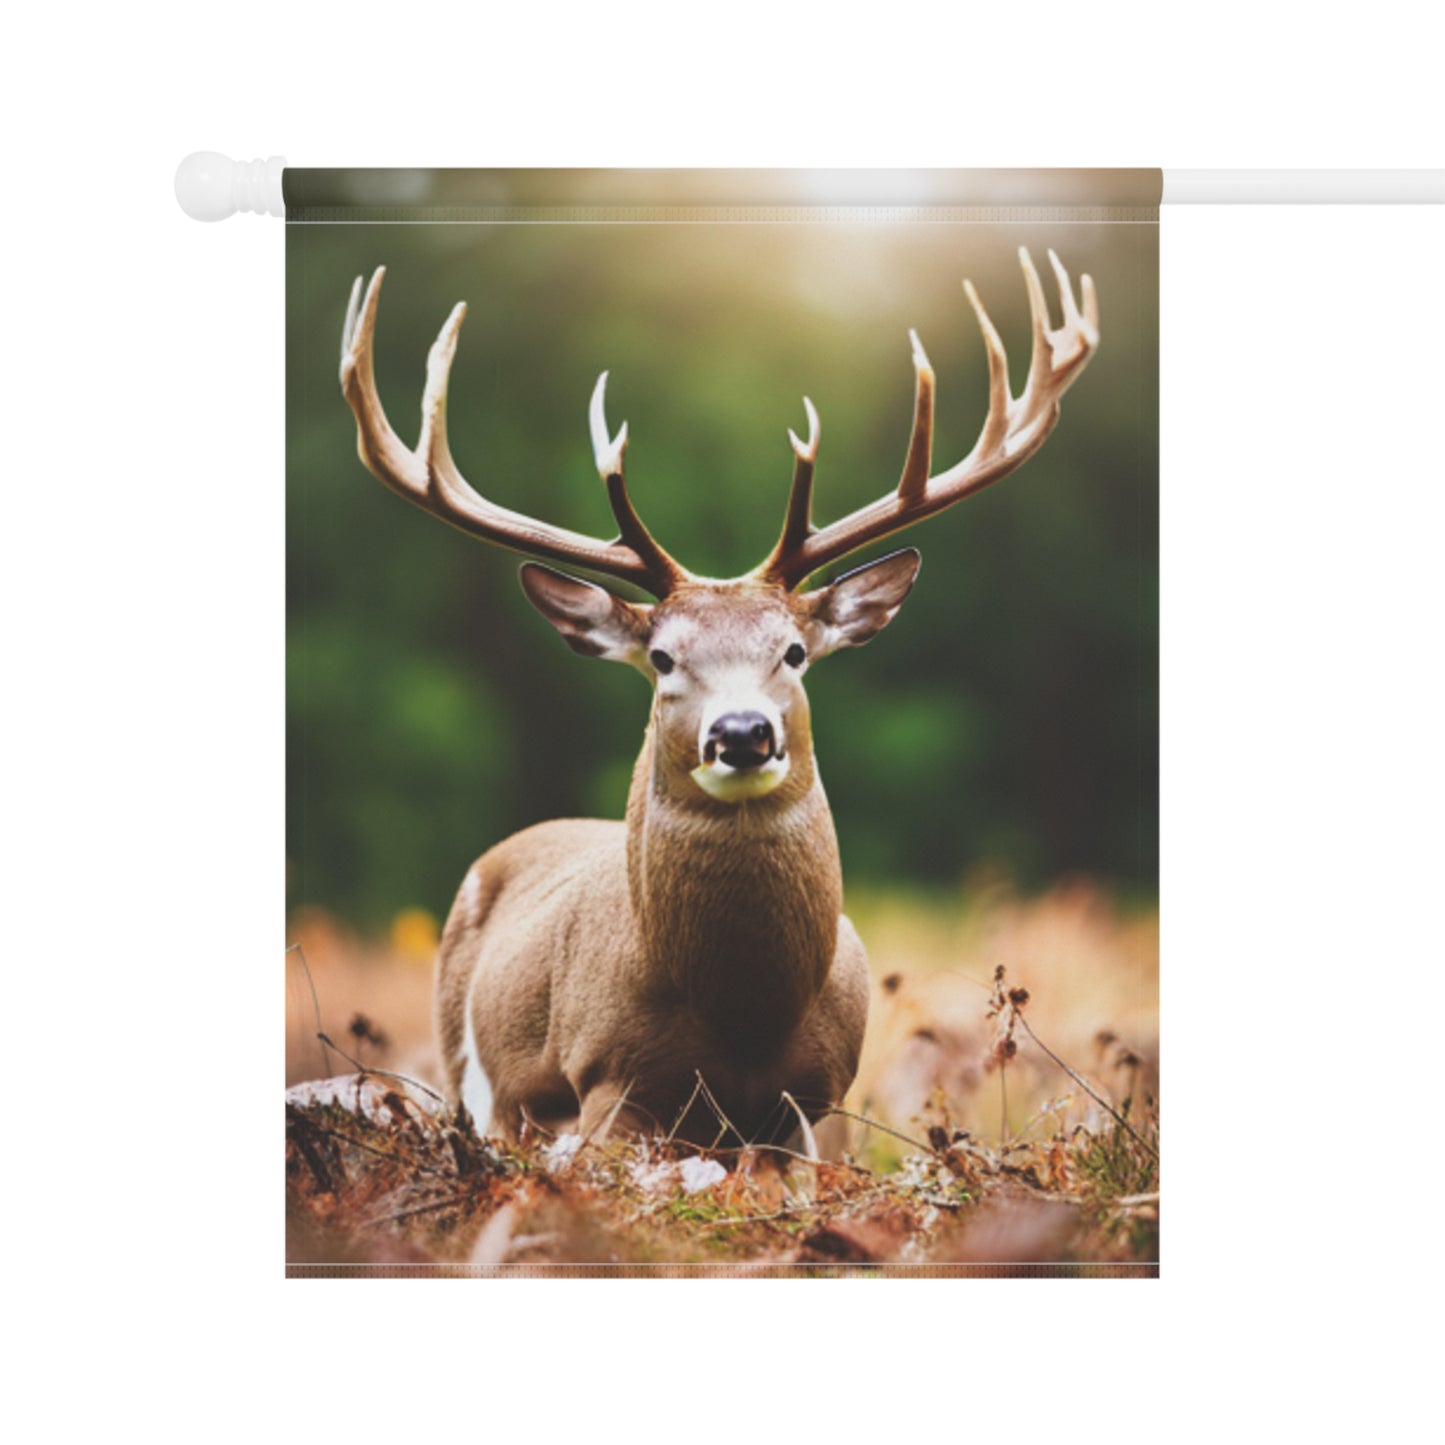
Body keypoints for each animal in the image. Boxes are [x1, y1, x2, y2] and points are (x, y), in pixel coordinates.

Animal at [337, 248, 1098, 1150]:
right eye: (663, 657)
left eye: (794, 651)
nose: (741, 733)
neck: (744, 1016)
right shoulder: (607, 1080)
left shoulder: (821, 1098)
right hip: (471, 1074)